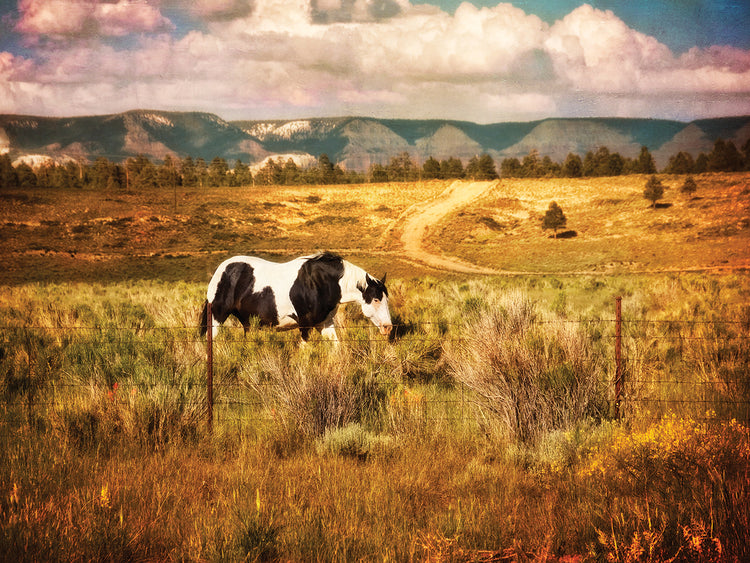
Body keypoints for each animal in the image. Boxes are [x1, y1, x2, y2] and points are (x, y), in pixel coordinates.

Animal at [199, 251, 392, 343]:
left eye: (386, 299)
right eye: (376, 300)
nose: (388, 327)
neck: (321, 282)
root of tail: (220, 270)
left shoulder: (324, 323)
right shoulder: (305, 324)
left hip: (248, 323)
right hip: (217, 317)